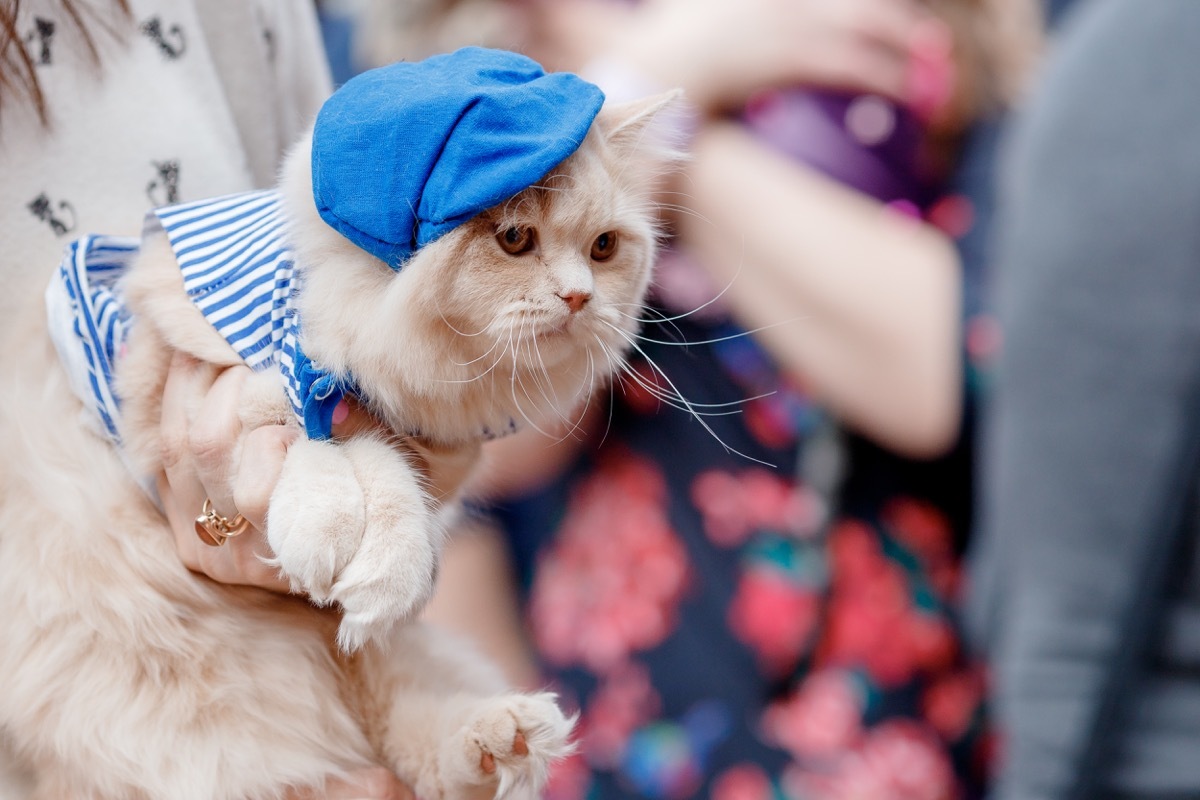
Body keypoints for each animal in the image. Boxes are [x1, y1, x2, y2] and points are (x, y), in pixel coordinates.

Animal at [0, 53, 681, 796]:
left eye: (604, 248)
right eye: (513, 239)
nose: (580, 297)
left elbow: (372, 457)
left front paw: (381, 564)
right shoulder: (160, 378)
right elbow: (329, 439)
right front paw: (339, 528)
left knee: (419, 738)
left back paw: (503, 740)